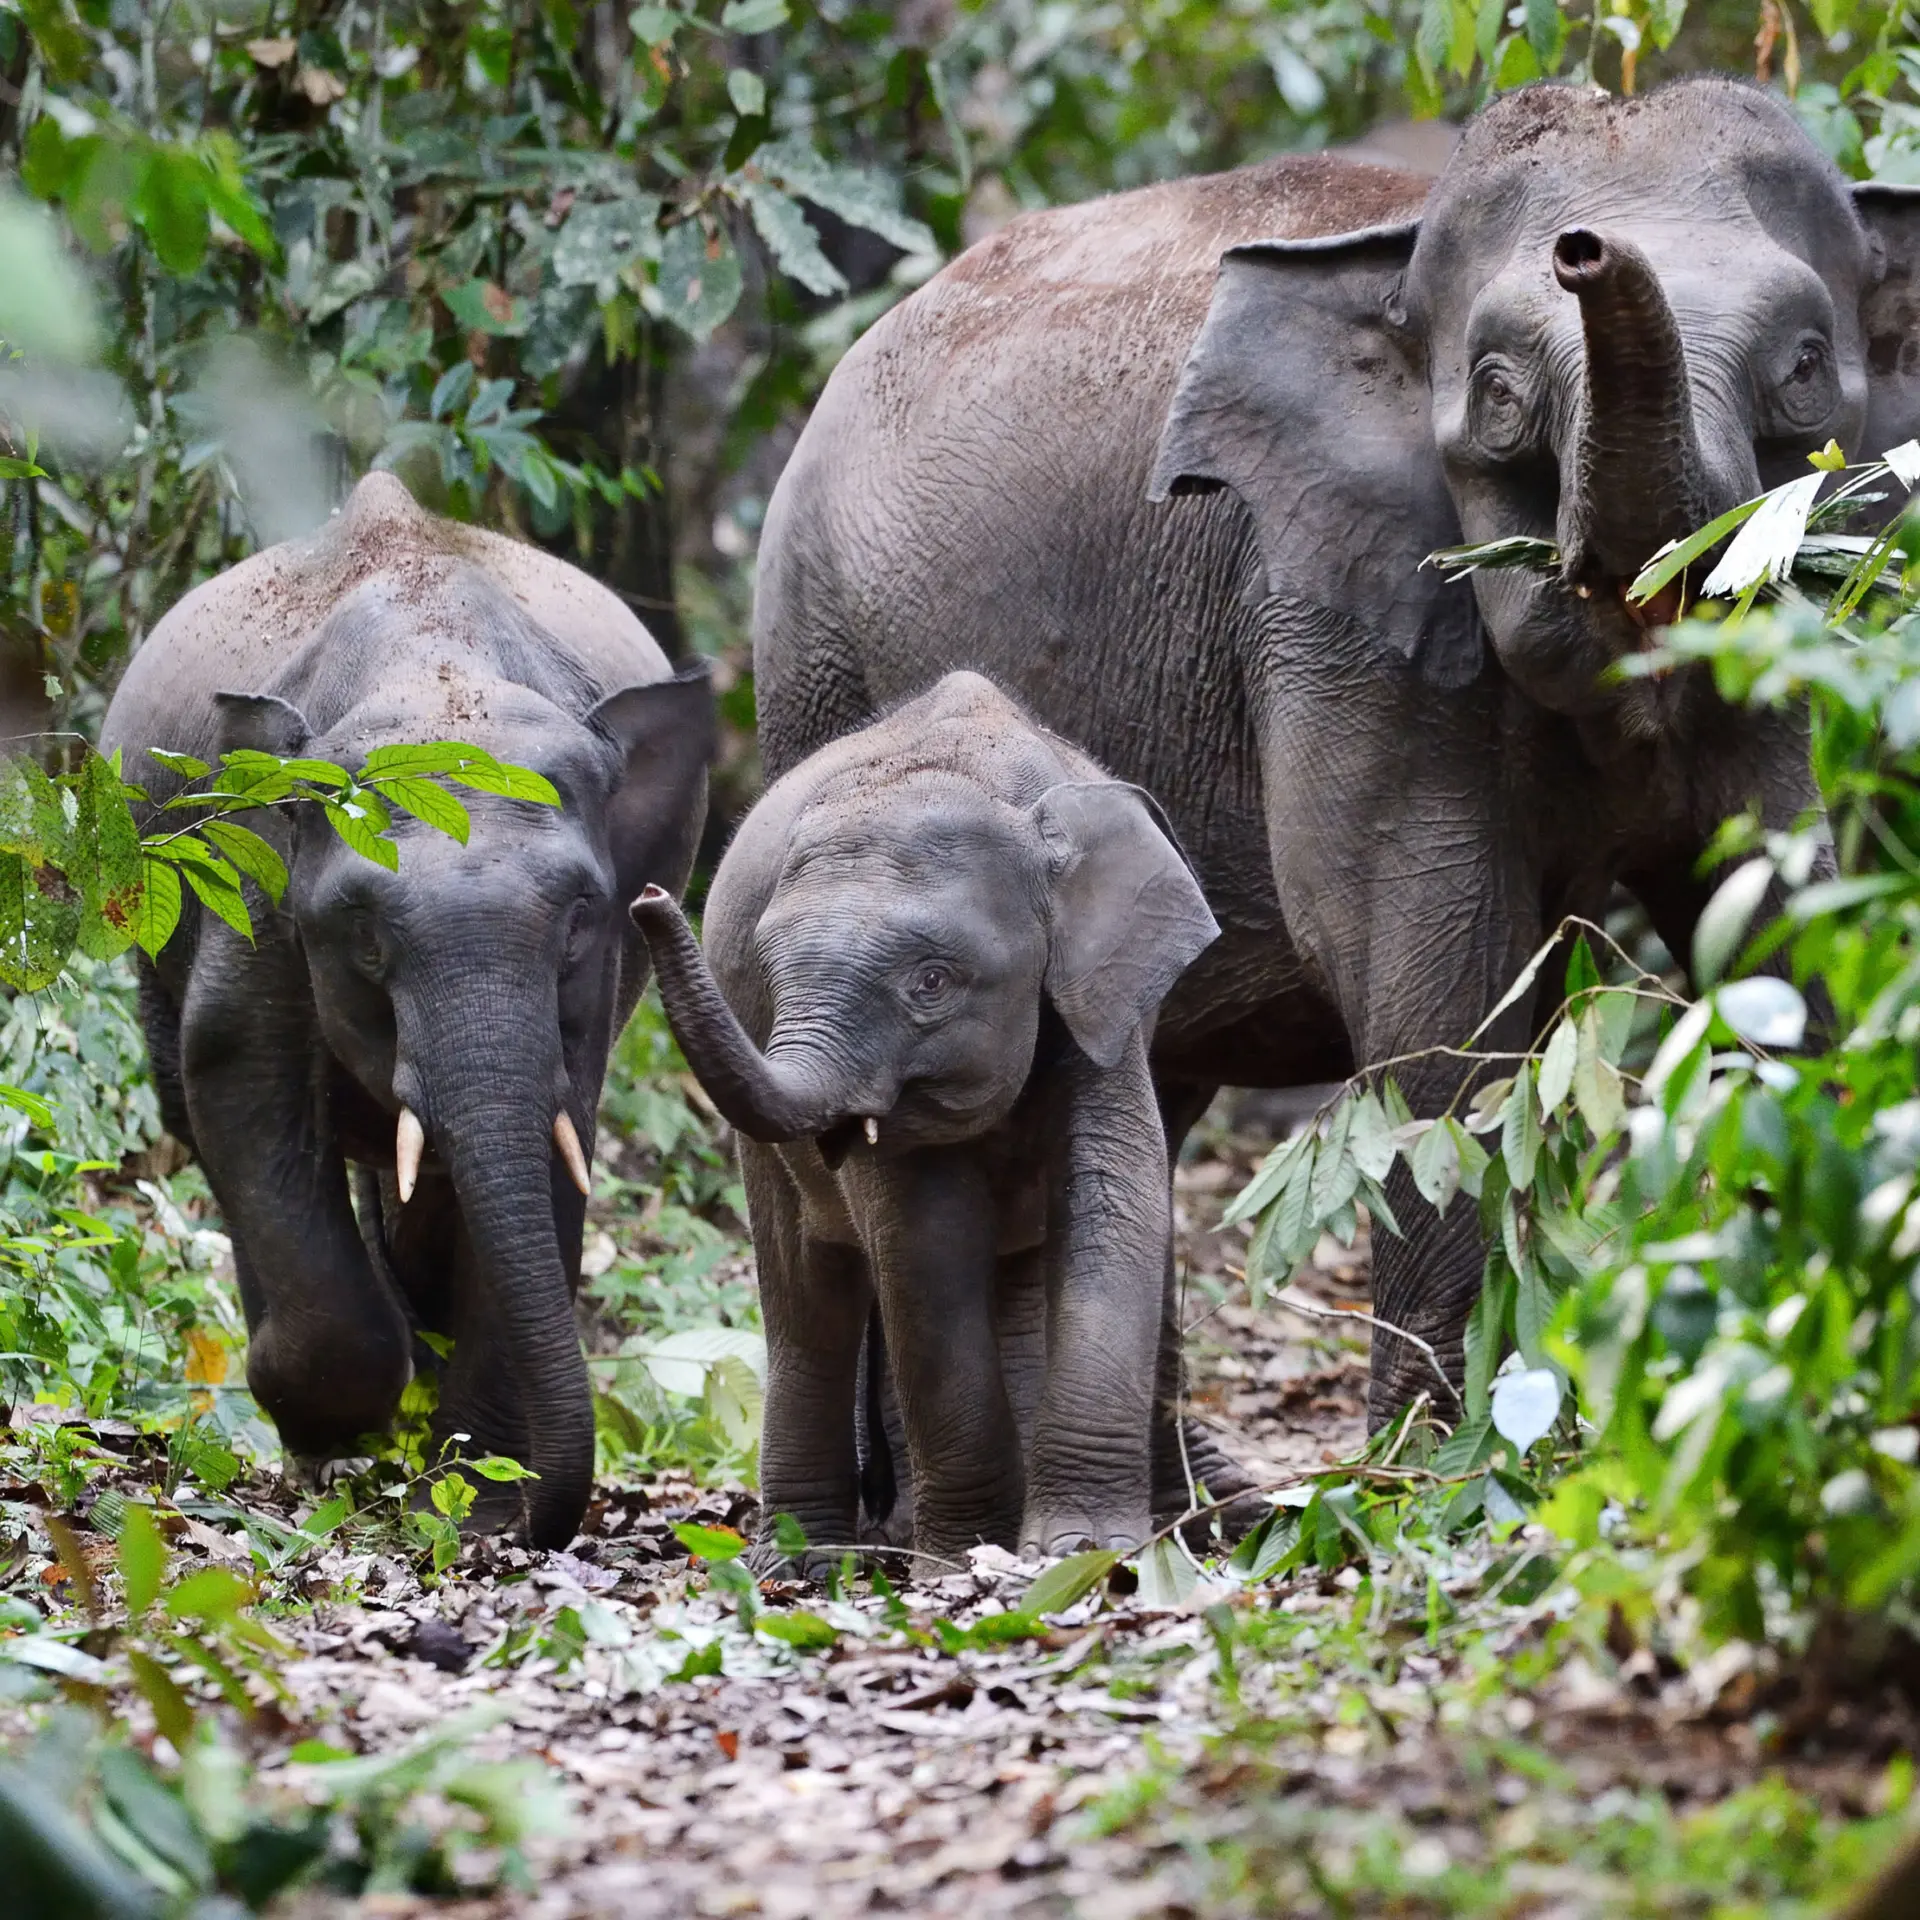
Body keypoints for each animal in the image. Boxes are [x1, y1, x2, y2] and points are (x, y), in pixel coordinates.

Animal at [101, 472, 713, 1548]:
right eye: (364, 930)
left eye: (580, 916)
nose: (541, 1527)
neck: (435, 667)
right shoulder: (255, 878)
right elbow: (237, 1071)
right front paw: (343, 1440)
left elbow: (558, 1121)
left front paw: (473, 1503)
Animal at [629, 671, 1219, 1564]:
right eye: (766, 972)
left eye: (932, 982)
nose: (650, 896)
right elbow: (925, 1247)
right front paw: (966, 1554)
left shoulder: (1103, 1011)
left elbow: (1116, 1205)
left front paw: (1077, 1549)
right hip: (762, 1159)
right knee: (809, 1299)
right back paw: (803, 1559)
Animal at [748, 76, 1920, 1426]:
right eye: (1499, 392)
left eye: (1805, 371)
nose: (1585, 249)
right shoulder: (1326, 606)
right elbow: (1424, 973)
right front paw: (1441, 1461)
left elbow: (1781, 910)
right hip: (816, 662)